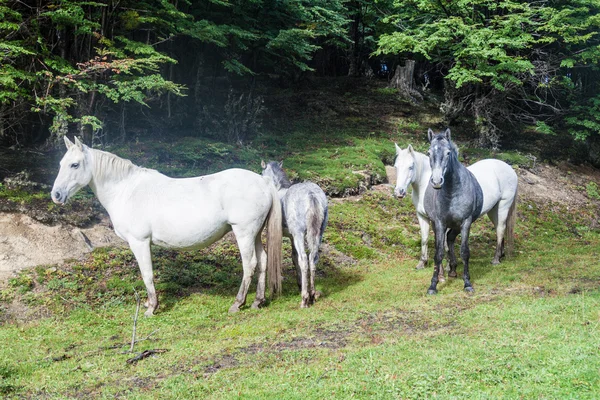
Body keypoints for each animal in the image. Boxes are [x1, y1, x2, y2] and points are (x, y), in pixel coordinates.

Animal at [50, 138, 282, 316]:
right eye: (60, 163)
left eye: (74, 165)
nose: (56, 195)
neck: (126, 190)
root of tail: (263, 182)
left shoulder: (139, 242)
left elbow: (147, 274)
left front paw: (151, 308)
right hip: (255, 234)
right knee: (262, 261)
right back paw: (258, 301)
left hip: (244, 233)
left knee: (249, 264)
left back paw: (237, 303)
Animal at [262, 161, 328, 308]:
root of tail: (311, 195)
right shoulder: (292, 237)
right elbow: (294, 257)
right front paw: (300, 284)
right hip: (318, 233)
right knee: (313, 258)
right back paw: (312, 294)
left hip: (299, 234)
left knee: (304, 259)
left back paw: (305, 299)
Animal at [394, 140, 516, 268]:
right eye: (396, 167)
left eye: (411, 167)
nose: (399, 192)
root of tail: (509, 168)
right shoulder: (423, 216)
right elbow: (425, 238)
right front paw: (422, 263)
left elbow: (445, 243)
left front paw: (448, 265)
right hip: (493, 210)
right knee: (498, 227)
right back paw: (501, 255)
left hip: (503, 206)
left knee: (501, 229)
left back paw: (496, 259)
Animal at [422, 128, 482, 294]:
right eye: (429, 152)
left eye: (448, 153)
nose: (437, 181)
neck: (452, 191)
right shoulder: (440, 223)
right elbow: (439, 253)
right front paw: (433, 285)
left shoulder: (466, 222)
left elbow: (465, 252)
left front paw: (467, 283)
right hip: (437, 225)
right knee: (444, 242)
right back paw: (444, 273)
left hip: (456, 225)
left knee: (450, 238)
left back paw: (454, 270)